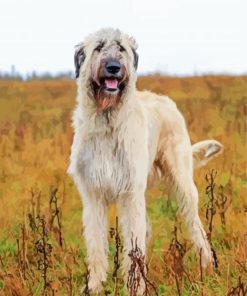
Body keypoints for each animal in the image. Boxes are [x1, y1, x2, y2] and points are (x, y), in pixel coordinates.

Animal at [68, 27, 224, 294]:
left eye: (121, 48)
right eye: (98, 47)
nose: (113, 67)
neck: (107, 121)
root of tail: (168, 102)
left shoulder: (130, 192)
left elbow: (134, 245)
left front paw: (135, 286)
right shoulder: (93, 195)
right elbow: (97, 245)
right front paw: (95, 286)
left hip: (181, 180)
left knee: (195, 225)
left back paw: (207, 267)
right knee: (148, 228)